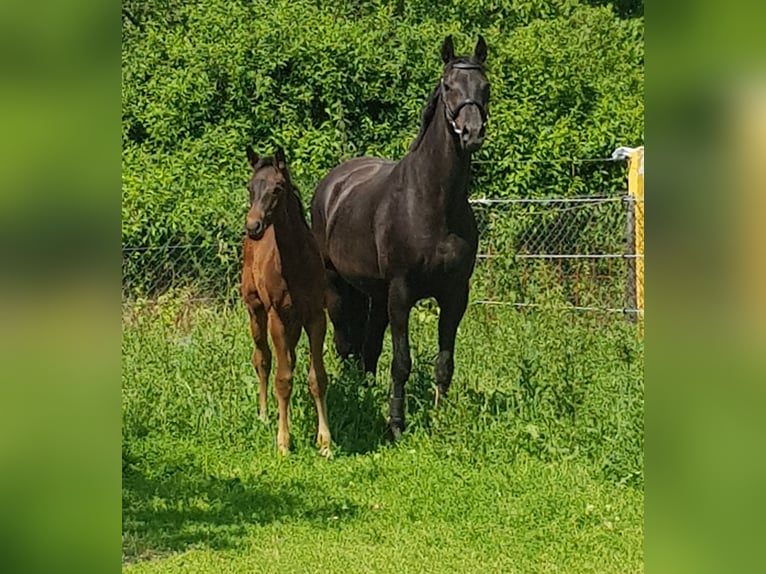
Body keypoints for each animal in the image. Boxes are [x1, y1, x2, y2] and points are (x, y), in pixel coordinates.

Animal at [242, 145, 332, 460]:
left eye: (278, 188)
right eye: (249, 187)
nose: (253, 226)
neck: (297, 264)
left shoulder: (316, 316)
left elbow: (317, 378)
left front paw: (325, 442)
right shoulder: (277, 317)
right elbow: (282, 379)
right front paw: (283, 442)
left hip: (293, 324)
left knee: (288, 361)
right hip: (256, 311)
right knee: (264, 360)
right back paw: (263, 416)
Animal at [312, 36, 492, 438]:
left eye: (485, 86)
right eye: (448, 86)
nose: (471, 133)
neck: (433, 204)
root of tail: (333, 183)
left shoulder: (455, 295)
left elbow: (444, 361)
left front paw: (440, 416)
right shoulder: (401, 293)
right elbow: (402, 361)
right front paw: (395, 423)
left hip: (375, 295)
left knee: (368, 346)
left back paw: (366, 388)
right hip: (336, 285)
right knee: (345, 343)